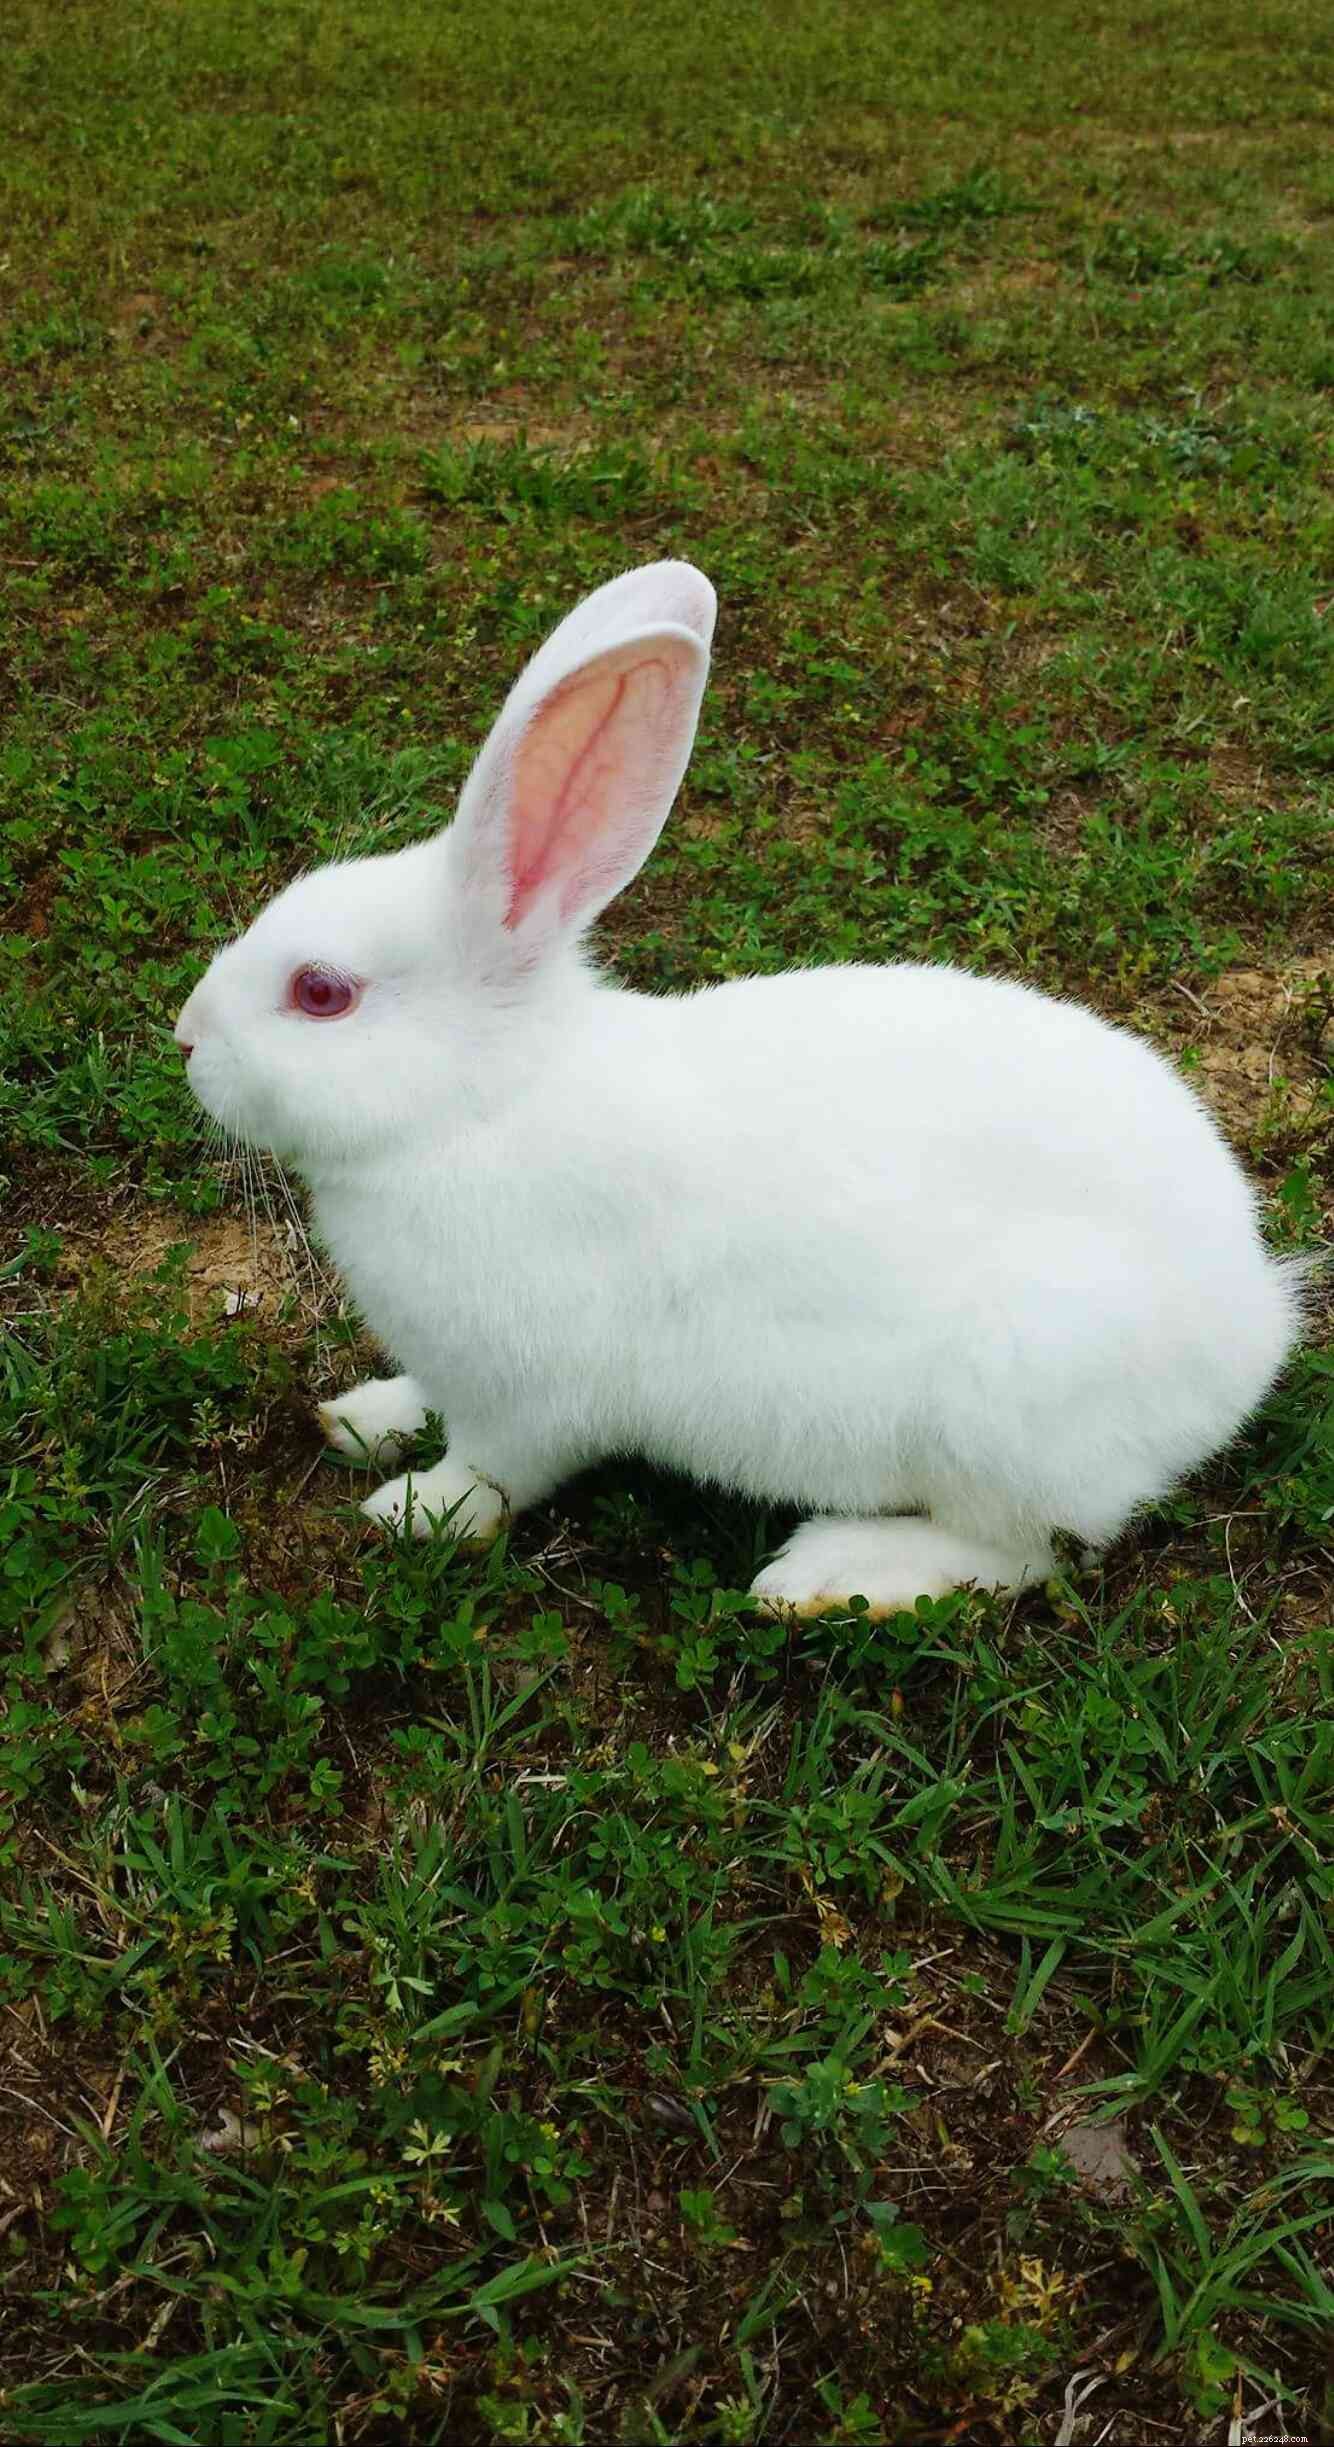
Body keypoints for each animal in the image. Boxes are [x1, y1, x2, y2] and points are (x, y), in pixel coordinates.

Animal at [174, 559, 1303, 1617]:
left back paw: (832, 1572)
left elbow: (492, 1475)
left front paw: (407, 1510)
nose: (185, 1036)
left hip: (1003, 1410)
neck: (479, 1105)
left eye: (321, 992)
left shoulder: (528, 1400)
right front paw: (364, 1415)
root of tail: (1251, 1323)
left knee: (1025, 1551)